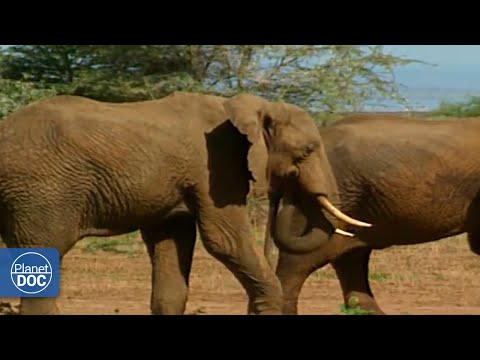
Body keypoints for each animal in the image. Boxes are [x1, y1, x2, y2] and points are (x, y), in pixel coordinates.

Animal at [0, 91, 372, 314]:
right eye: (306, 151)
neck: (244, 105)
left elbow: (171, 243)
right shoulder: (215, 166)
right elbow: (225, 240)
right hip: (42, 193)